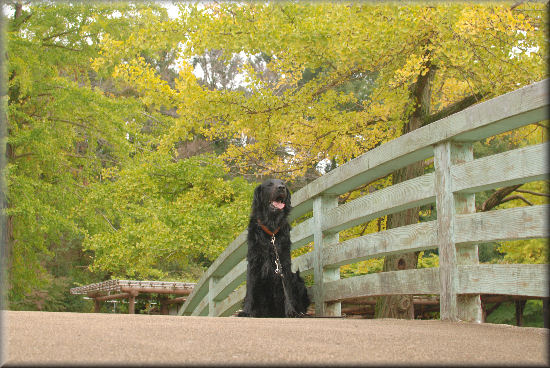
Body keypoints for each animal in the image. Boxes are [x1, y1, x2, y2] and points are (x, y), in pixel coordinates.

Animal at [239, 178, 310, 316]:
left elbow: (287, 290)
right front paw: (246, 311)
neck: (271, 231)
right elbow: (250, 290)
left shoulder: (284, 263)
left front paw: (290, 311)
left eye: (283, 184)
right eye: (269, 184)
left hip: (297, 279)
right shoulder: (253, 263)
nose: (281, 188)